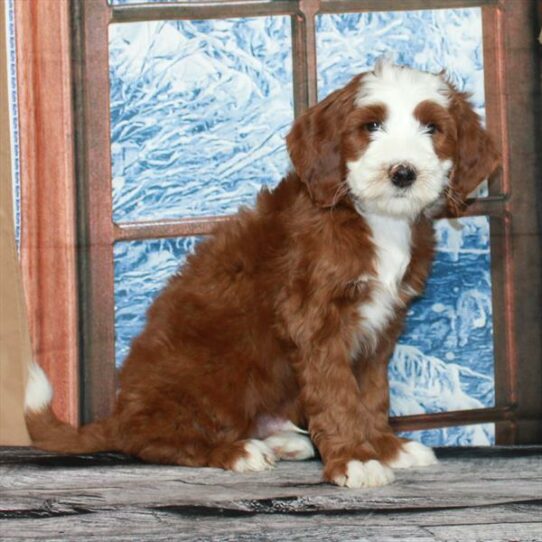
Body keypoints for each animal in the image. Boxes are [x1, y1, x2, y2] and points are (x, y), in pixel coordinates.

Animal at [26, 61, 502, 490]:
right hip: (216, 367)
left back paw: (280, 441)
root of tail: (120, 411)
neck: (373, 218)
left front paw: (385, 448)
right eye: (371, 125)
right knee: (150, 438)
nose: (403, 172)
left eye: (432, 129)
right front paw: (356, 460)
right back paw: (234, 450)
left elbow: (370, 394)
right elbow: (338, 395)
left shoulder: (381, 326)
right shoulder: (315, 320)